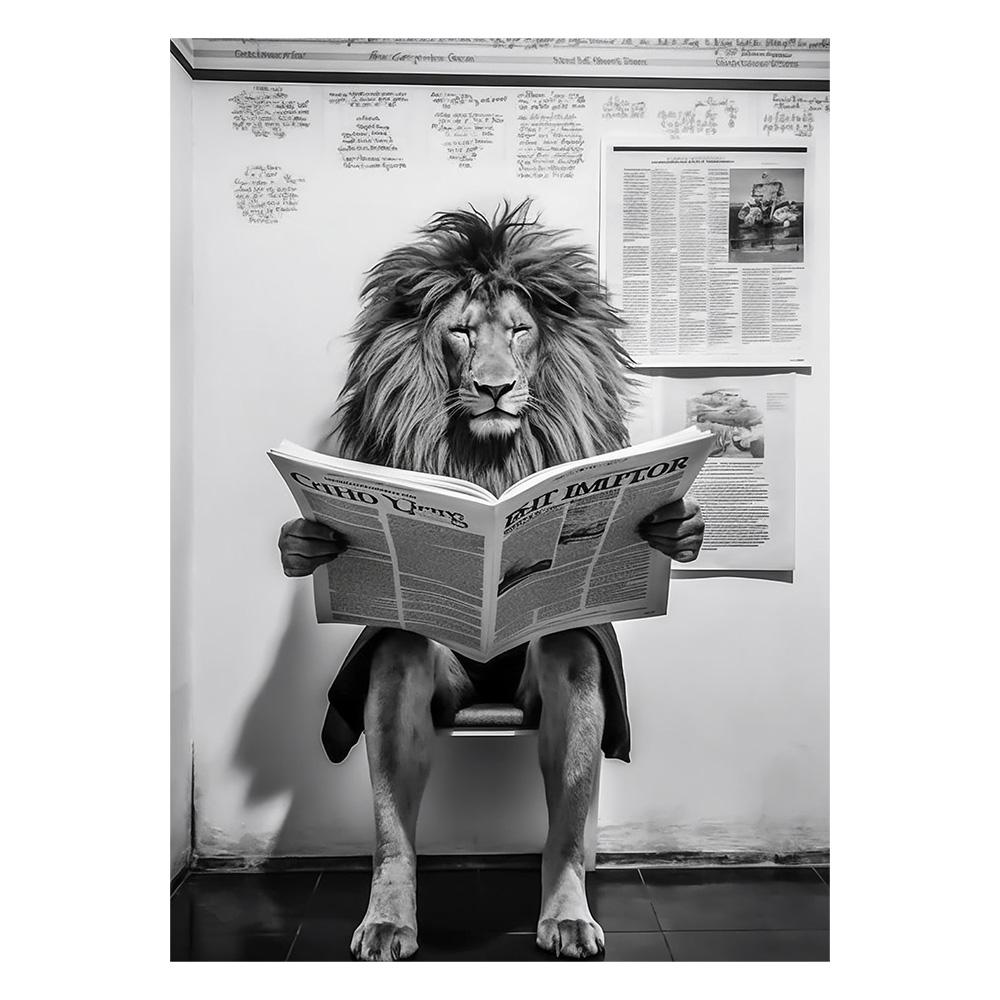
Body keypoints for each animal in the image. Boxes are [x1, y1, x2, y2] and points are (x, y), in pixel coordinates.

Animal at [277, 200, 705, 960]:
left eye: (520, 331)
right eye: (461, 332)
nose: (496, 388)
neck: (490, 462)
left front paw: (675, 527)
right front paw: (307, 541)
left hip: (555, 669)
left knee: (570, 666)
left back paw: (567, 914)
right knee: (399, 659)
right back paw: (388, 919)